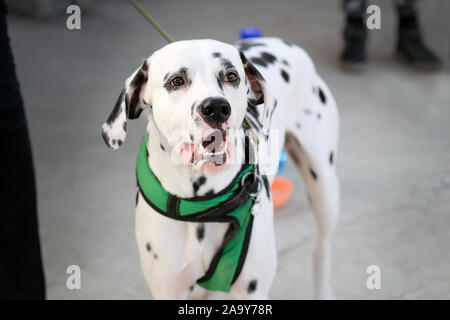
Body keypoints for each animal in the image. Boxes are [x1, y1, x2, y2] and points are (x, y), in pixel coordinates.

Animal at [102, 37, 340, 300]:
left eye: (231, 76)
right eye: (176, 80)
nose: (216, 108)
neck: (200, 205)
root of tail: (282, 41)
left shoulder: (252, 290)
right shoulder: (168, 290)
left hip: (324, 191)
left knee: (322, 248)